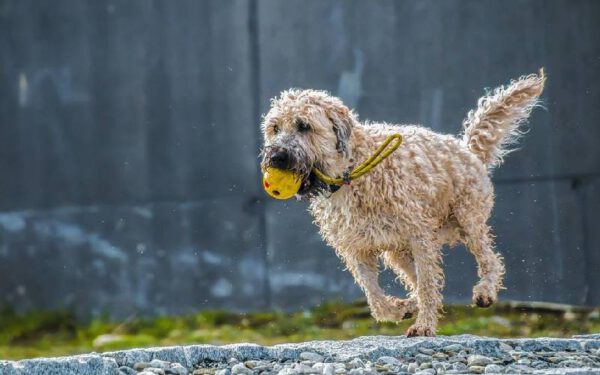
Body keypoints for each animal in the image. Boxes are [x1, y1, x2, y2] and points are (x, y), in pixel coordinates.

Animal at [260, 71, 548, 338]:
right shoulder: (356, 248)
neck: (352, 171)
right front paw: (401, 309)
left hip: (468, 220)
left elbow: (428, 284)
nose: (275, 157)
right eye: (275, 128)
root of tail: (467, 150)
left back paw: (485, 292)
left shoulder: (419, 236)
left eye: (304, 126)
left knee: (489, 259)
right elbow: (375, 296)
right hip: (398, 251)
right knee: (420, 278)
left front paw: (424, 325)